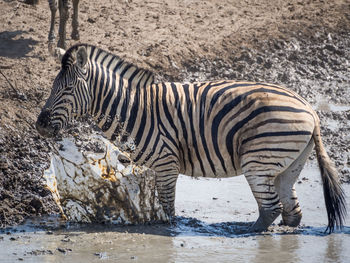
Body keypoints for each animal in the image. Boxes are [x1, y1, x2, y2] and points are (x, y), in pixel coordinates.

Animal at [36, 44, 348, 234]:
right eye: (52, 87)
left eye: (66, 90)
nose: (39, 125)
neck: (133, 108)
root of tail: (309, 108)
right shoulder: (156, 167)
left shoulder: (166, 162)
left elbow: (167, 206)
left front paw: (167, 228)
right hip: (288, 164)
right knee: (291, 211)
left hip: (258, 160)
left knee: (271, 209)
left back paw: (246, 232)